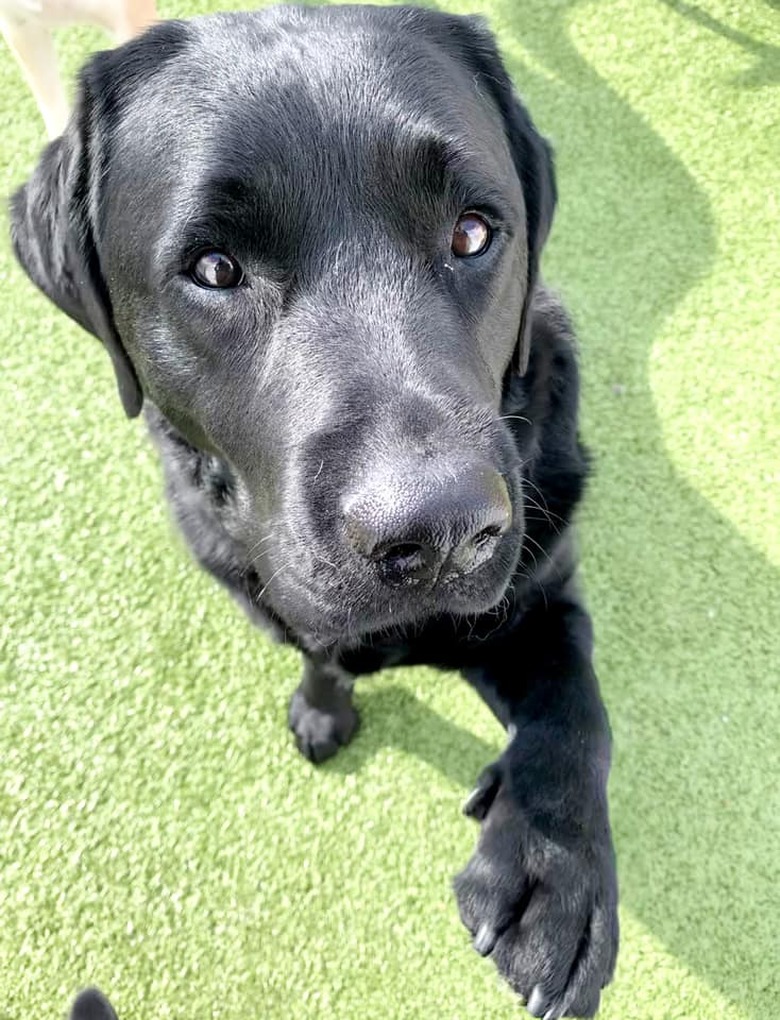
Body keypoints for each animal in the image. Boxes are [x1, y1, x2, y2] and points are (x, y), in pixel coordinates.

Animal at [12, 3, 615, 1015]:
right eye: (214, 268)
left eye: (472, 233)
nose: (440, 532)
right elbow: (317, 649)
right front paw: (323, 711)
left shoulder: (539, 582)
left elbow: (579, 709)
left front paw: (550, 868)